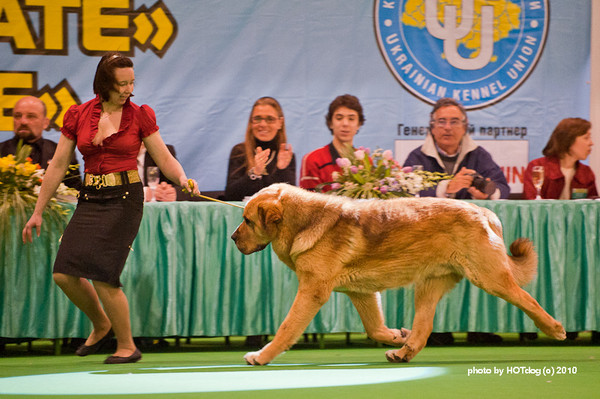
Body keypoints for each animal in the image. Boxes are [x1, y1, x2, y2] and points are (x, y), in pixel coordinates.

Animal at [231, 184, 568, 366]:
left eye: (247, 221)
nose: (233, 239)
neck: (303, 221)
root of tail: (484, 211)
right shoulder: (362, 293)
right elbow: (375, 328)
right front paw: (396, 335)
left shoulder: (312, 292)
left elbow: (286, 327)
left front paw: (262, 355)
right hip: (429, 287)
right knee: (424, 327)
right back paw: (404, 351)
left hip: (492, 279)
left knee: (529, 300)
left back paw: (554, 328)